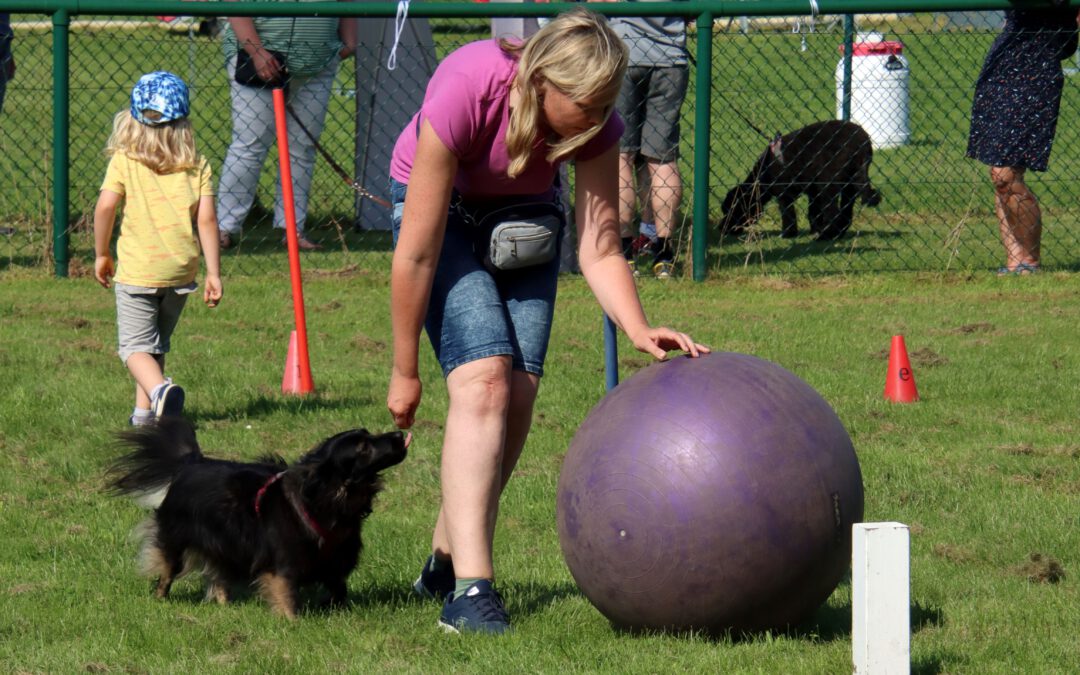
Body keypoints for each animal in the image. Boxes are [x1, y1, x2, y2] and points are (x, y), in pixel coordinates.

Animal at [107, 419, 406, 617]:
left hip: (224, 545)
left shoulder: (336, 561)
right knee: (168, 570)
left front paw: (333, 608)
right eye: (363, 448)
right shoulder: (283, 564)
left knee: (219, 576)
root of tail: (191, 463)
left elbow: (338, 588)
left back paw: (225, 604)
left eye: (368, 434)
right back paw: (160, 598)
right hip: (176, 539)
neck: (326, 499)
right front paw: (293, 621)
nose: (400, 434)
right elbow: (287, 594)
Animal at [721, 119, 881, 240]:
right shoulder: (813, 192)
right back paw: (836, 234)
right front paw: (814, 229)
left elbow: (788, 214)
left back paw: (826, 236)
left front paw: (788, 234)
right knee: (846, 212)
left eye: (732, 209)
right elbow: (813, 213)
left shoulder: (784, 193)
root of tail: (863, 142)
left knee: (833, 212)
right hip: (852, 183)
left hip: (829, 183)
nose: (721, 228)